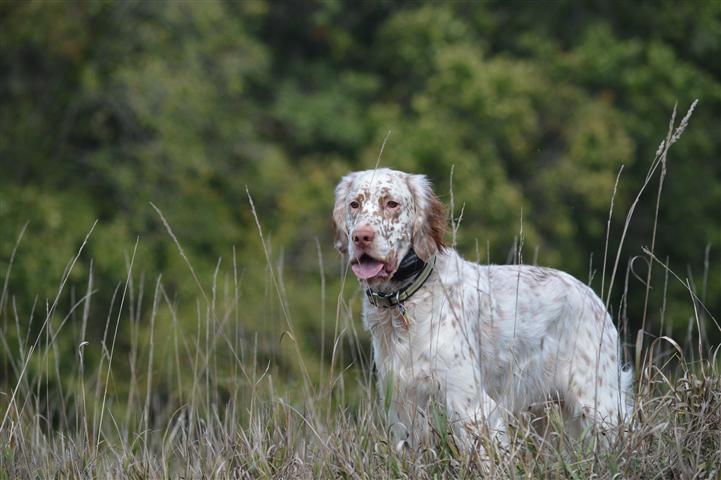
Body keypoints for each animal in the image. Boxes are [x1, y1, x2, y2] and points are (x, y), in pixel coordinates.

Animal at [332, 170, 632, 454]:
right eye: (354, 204)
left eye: (391, 203)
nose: (361, 237)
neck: (406, 301)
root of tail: (591, 295)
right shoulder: (403, 410)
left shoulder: (471, 407)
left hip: (598, 404)